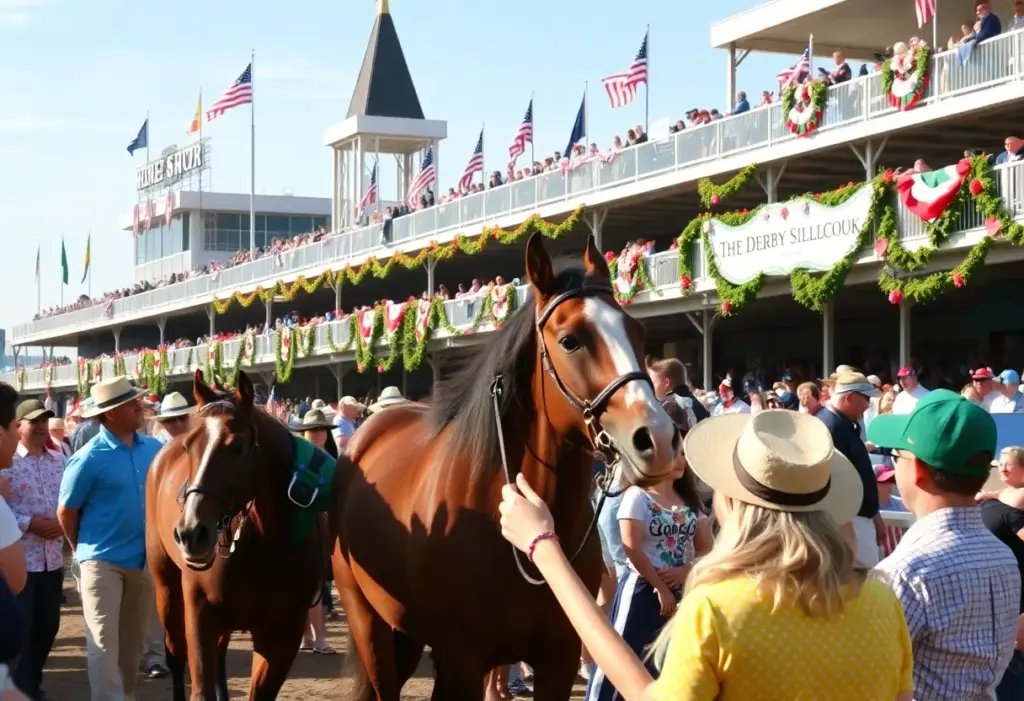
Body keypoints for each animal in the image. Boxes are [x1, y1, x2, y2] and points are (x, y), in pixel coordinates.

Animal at [146, 370, 328, 701]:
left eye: (238, 446)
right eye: (189, 445)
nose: (191, 532)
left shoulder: (281, 633)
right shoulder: (200, 618)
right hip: (166, 587)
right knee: (175, 655)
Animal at [330, 233, 680, 700]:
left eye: (638, 332)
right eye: (570, 340)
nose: (657, 439)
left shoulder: (559, 658)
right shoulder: (461, 660)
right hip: (367, 618)